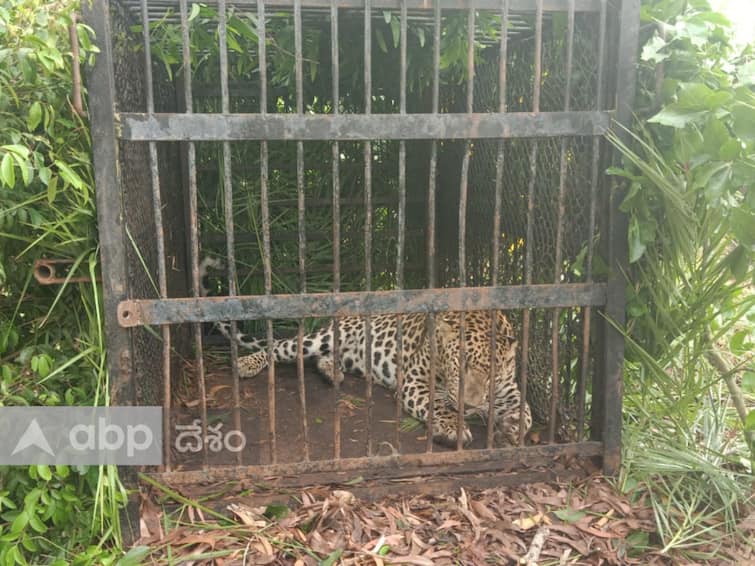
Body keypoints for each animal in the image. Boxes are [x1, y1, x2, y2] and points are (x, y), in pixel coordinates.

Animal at [201, 258, 532, 448]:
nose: (470, 405)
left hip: (352, 357)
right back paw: (247, 363)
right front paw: (452, 427)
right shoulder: (415, 382)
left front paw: (511, 429)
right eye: (458, 365)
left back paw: (332, 375)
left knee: (322, 359)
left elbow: (525, 411)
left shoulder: (509, 389)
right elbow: (437, 404)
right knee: (281, 347)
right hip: (324, 337)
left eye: (490, 374)